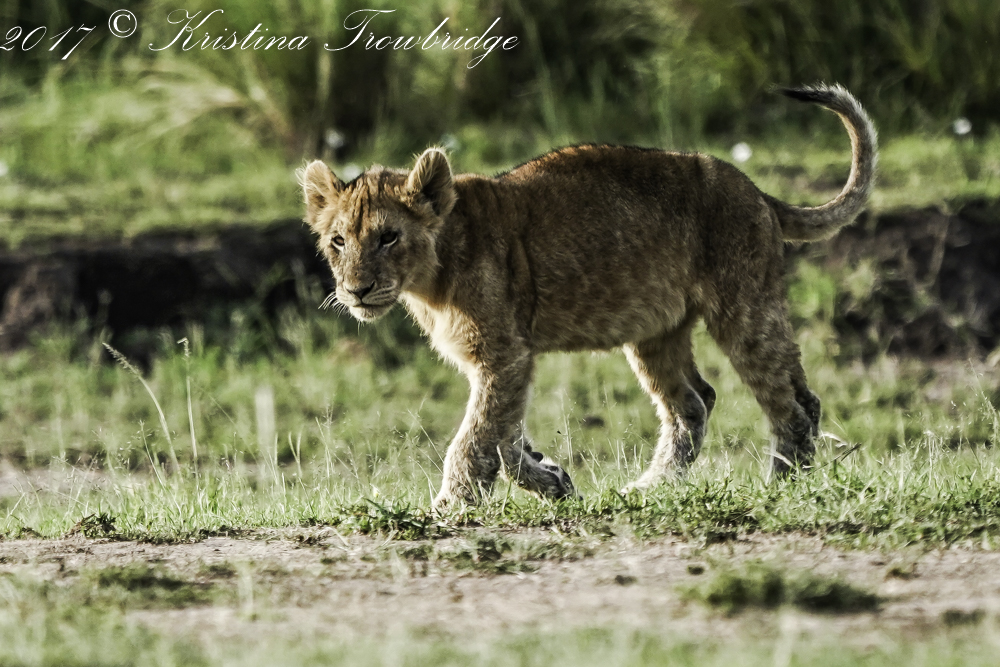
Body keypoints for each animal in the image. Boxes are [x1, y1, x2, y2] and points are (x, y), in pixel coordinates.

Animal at [299, 84, 877, 508]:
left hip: (744, 306)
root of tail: (756, 190)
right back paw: (650, 488)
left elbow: (475, 436)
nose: (356, 289)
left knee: (792, 402)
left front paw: (452, 505)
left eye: (388, 237)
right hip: (656, 330)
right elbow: (503, 435)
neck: (430, 280)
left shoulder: (503, 353)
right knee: (695, 402)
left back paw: (782, 484)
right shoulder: (505, 360)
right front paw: (552, 479)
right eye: (339, 241)